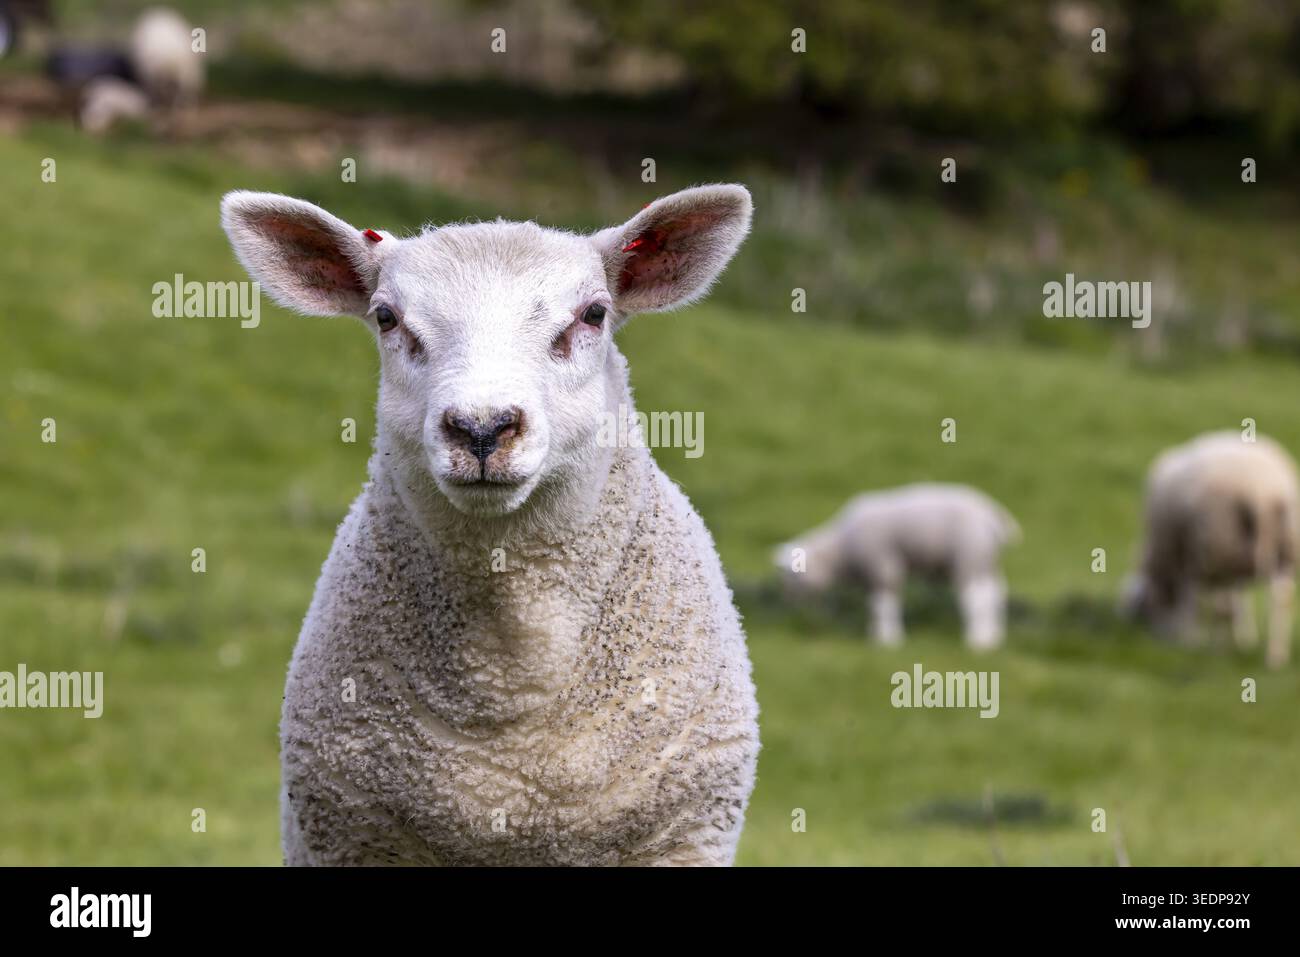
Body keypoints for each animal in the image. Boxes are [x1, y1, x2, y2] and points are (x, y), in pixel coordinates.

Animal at [775, 484, 1020, 650]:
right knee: (996, 593)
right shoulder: (872, 577)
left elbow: (886, 604)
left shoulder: (883, 566)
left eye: (793, 576)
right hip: (986, 560)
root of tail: (993, 515)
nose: (789, 605)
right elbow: (874, 605)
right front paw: (876, 633)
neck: (841, 551)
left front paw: (888, 640)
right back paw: (995, 635)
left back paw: (979, 640)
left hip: (969, 556)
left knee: (976, 598)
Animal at [1123, 431, 1299, 668]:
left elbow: (1192, 596)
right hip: (1281, 549)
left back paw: (1219, 649)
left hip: (1222, 542)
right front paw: (1244, 637)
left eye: (1145, 611)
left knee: (1223, 606)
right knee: (1279, 600)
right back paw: (1274, 657)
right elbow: (1236, 598)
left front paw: (1189, 638)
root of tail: (1264, 491)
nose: (1160, 636)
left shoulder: (1187, 556)